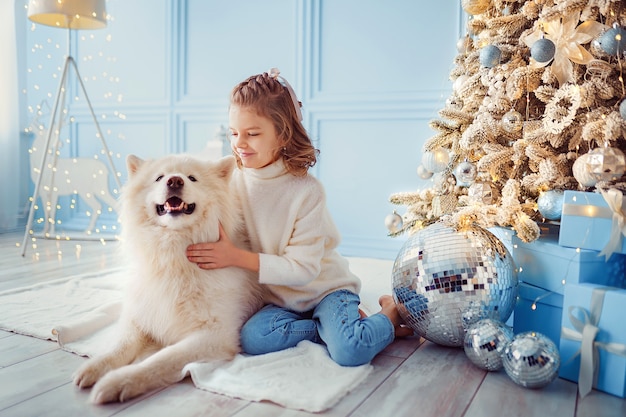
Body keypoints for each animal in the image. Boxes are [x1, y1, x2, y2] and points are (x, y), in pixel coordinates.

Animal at [73, 154, 264, 404]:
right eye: (159, 177)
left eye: (192, 178)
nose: (174, 181)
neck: (173, 256)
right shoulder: (140, 312)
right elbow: (120, 345)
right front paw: (94, 366)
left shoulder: (216, 335)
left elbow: (161, 358)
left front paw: (119, 382)